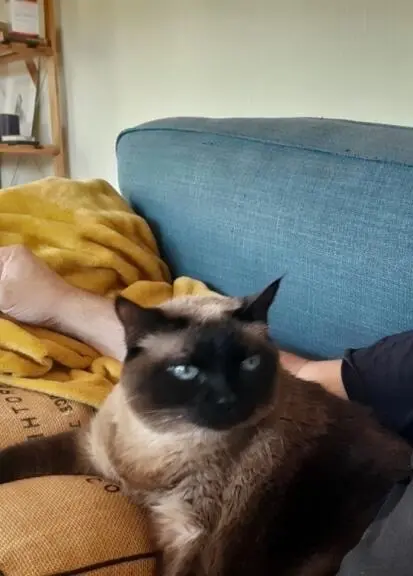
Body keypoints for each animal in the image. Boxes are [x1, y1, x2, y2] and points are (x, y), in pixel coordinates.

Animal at [0, 279, 411, 576]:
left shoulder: (187, 539)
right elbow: (19, 456)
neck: (158, 449)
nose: (227, 400)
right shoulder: (88, 449)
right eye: (186, 371)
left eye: (248, 363)